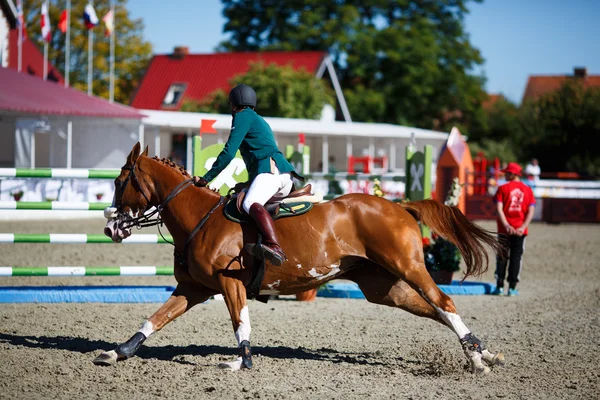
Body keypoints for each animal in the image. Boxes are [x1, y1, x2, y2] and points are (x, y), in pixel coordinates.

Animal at [95, 144, 506, 376]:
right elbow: (153, 320)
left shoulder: (229, 283)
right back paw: (483, 352)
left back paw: (476, 360)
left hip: (408, 267)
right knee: (434, 310)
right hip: (382, 287)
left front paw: (241, 362)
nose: (111, 227)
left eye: (119, 182)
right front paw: (117, 353)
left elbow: (240, 323)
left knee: (444, 301)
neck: (200, 217)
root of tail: (399, 205)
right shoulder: (193, 288)